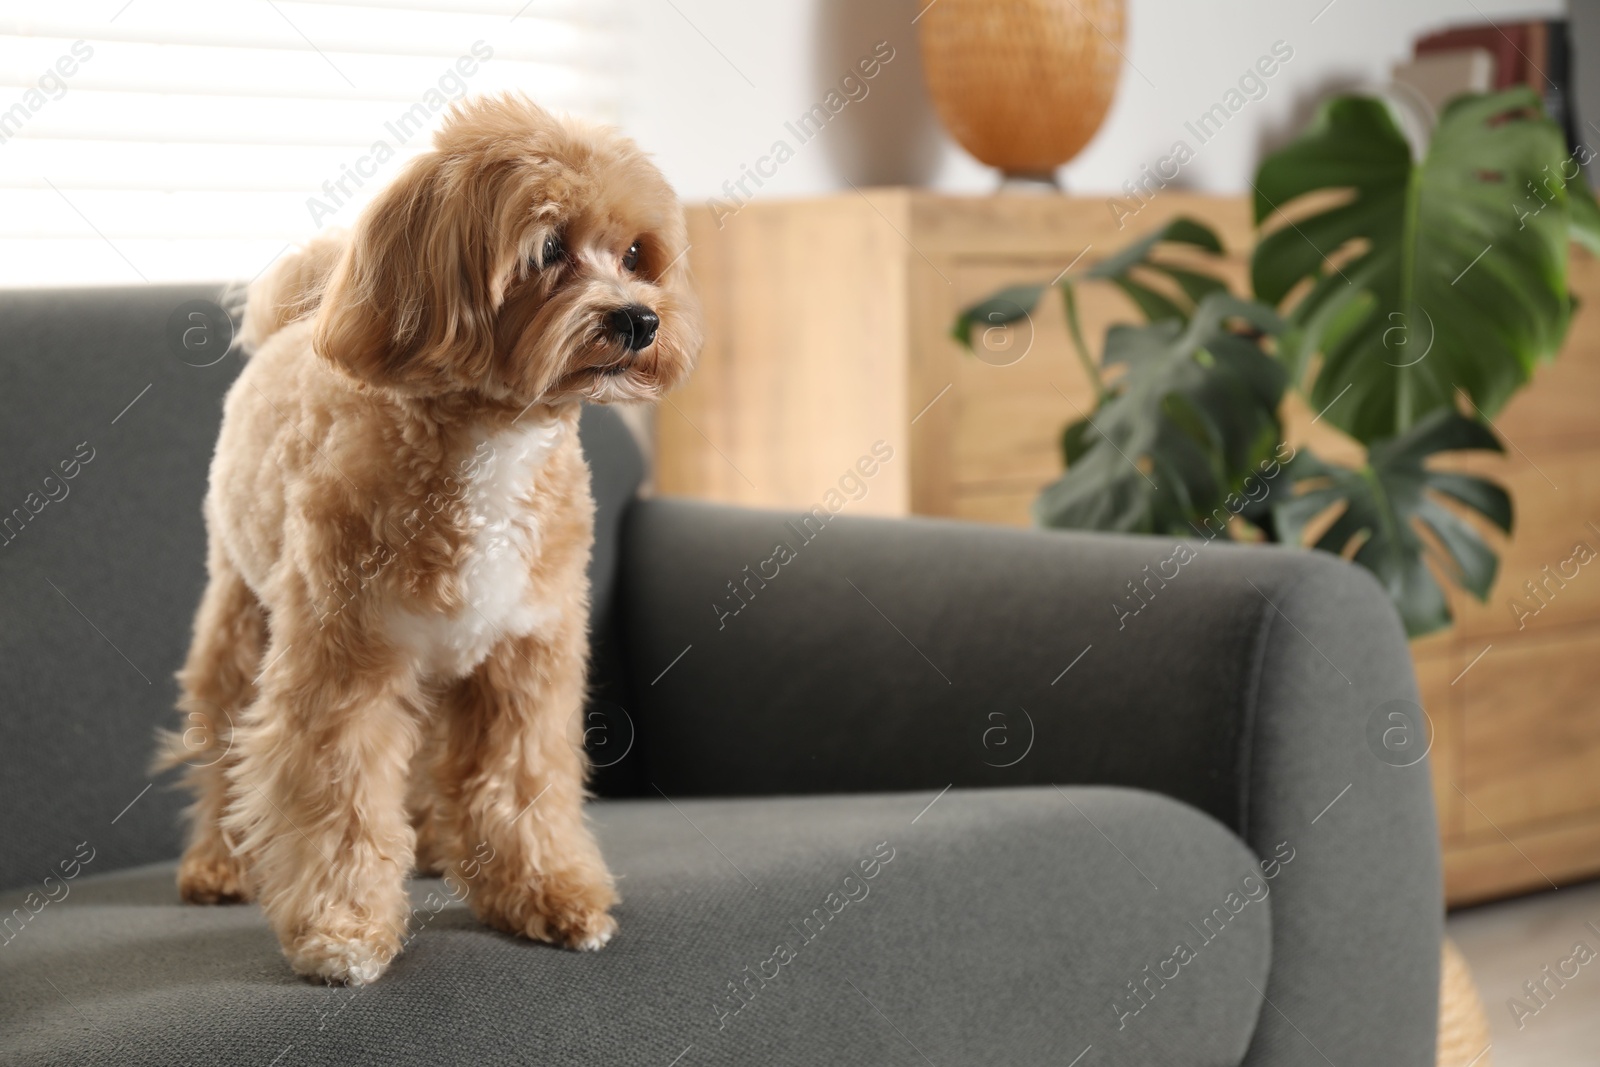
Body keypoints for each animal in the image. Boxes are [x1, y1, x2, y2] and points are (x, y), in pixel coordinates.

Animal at [160, 95, 700, 991]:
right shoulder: (345, 661)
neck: (493, 441)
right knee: (224, 740)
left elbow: (520, 780)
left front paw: (545, 893)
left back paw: (441, 847)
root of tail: (296, 316)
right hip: (240, 616)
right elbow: (337, 793)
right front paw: (342, 928)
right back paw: (219, 861)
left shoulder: (526, 656)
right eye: (548, 249)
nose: (639, 317)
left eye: (635, 253)